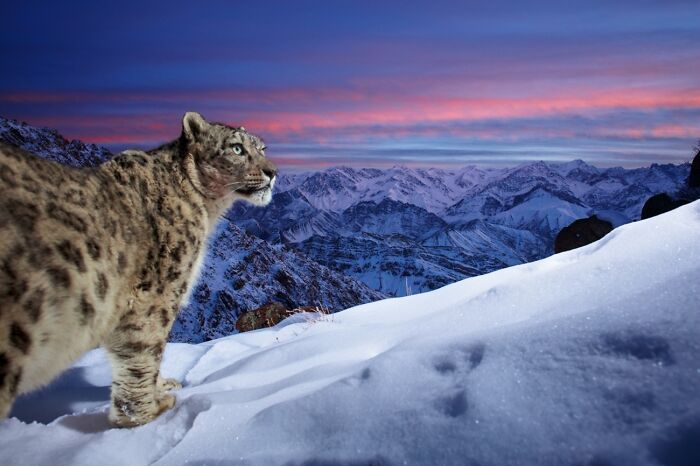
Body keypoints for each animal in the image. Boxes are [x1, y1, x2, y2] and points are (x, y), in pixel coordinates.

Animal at [0, 112, 277, 427]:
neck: (208, 211)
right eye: (237, 148)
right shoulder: (157, 294)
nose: (272, 172)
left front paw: (162, 388)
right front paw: (146, 414)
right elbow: (143, 352)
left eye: (262, 148)